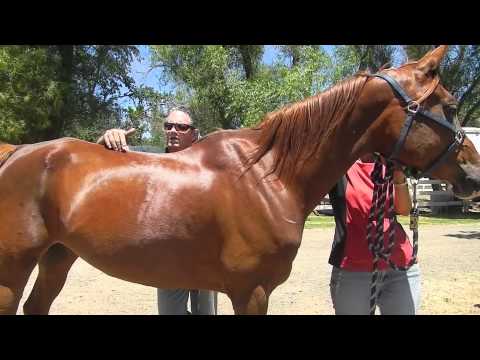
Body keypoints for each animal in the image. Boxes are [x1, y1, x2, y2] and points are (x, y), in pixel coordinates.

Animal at [0, 45, 480, 316]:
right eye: (450, 107)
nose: (474, 173)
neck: (271, 176)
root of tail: (17, 153)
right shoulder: (251, 292)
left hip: (58, 256)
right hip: (14, 268)